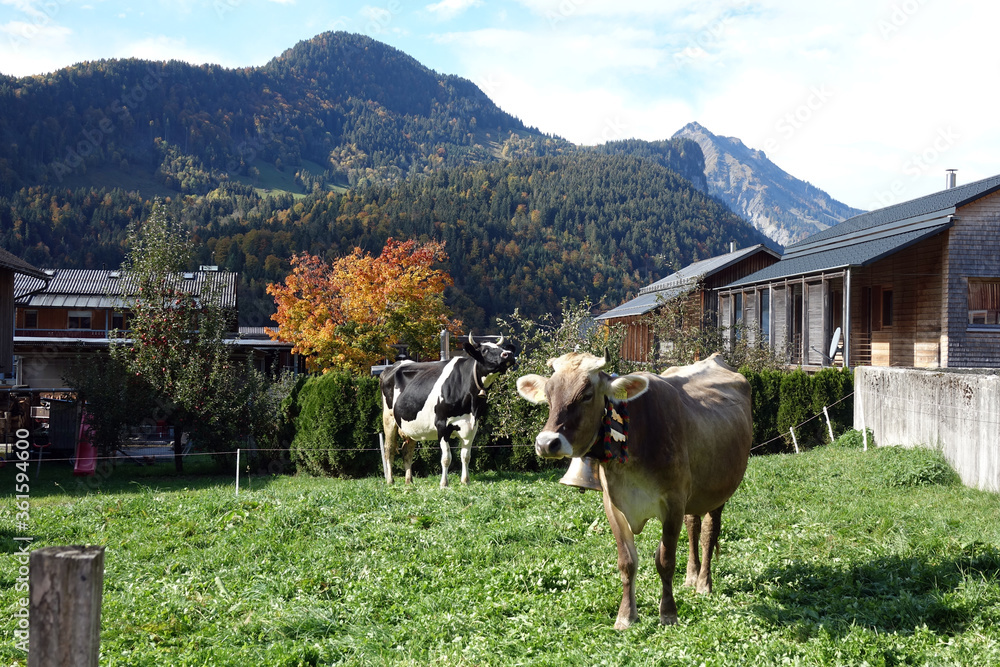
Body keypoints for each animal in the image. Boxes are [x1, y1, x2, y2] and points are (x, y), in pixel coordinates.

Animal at [376, 332, 516, 486]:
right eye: (485, 350)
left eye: (501, 347)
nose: (508, 354)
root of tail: (393, 366)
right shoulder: (442, 425)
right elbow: (446, 458)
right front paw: (444, 483)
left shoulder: (472, 426)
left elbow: (466, 456)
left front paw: (465, 481)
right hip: (388, 418)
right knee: (389, 449)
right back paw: (390, 480)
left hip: (410, 425)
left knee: (407, 450)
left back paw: (409, 481)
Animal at [516, 352, 752, 628]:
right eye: (549, 394)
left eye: (587, 394)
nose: (547, 443)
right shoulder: (613, 504)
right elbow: (627, 562)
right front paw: (626, 616)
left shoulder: (673, 502)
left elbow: (665, 560)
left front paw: (668, 613)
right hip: (695, 493)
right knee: (693, 525)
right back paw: (691, 577)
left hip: (718, 491)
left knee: (708, 532)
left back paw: (704, 583)